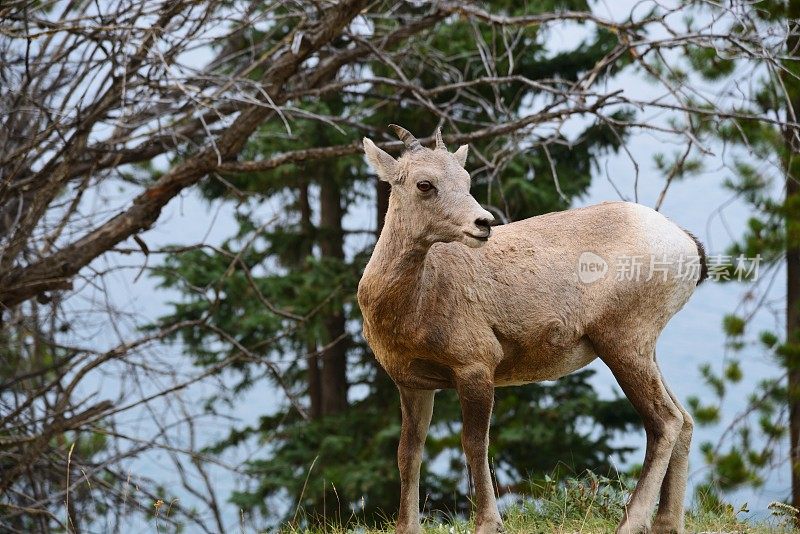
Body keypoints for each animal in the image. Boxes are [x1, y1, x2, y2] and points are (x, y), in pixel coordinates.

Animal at [356, 126, 708, 534]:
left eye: (466, 180)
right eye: (424, 184)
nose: (483, 223)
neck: (413, 304)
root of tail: (688, 245)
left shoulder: (476, 367)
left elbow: (475, 444)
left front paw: (488, 523)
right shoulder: (412, 383)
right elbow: (408, 452)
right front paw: (407, 526)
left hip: (623, 343)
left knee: (664, 422)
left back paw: (630, 523)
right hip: (644, 348)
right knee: (684, 420)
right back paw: (666, 523)